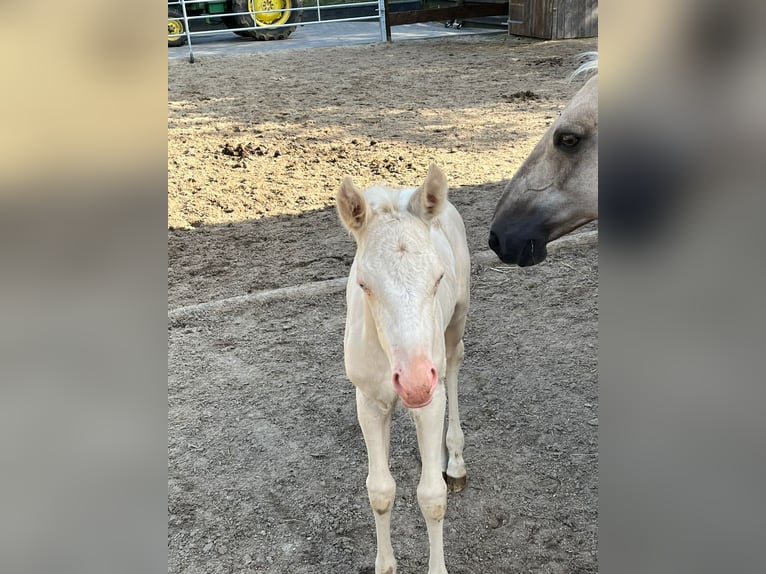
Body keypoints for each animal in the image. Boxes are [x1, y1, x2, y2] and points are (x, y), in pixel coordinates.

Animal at [338, 163, 472, 574]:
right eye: (363, 283)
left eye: (438, 277)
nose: (414, 383)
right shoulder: (368, 401)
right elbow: (380, 491)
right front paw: (385, 565)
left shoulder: (429, 398)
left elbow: (432, 497)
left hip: (455, 323)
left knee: (453, 366)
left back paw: (454, 461)